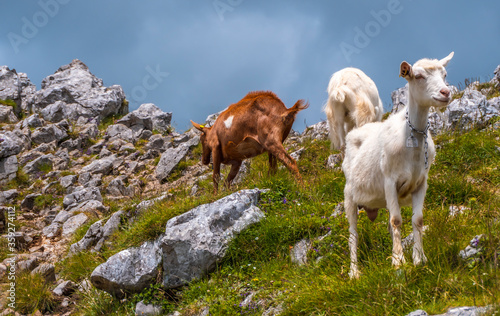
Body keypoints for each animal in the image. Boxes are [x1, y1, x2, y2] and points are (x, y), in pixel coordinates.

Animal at [344, 51, 454, 278]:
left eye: (445, 74)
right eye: (418, 76)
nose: (445, 92)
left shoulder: (421, 183)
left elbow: (417, 220)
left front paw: (419, 258)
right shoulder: (390, 181)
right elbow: (396, 220)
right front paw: (398, 262)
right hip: (349, 196)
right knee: (353, 234)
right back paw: (354, 272)